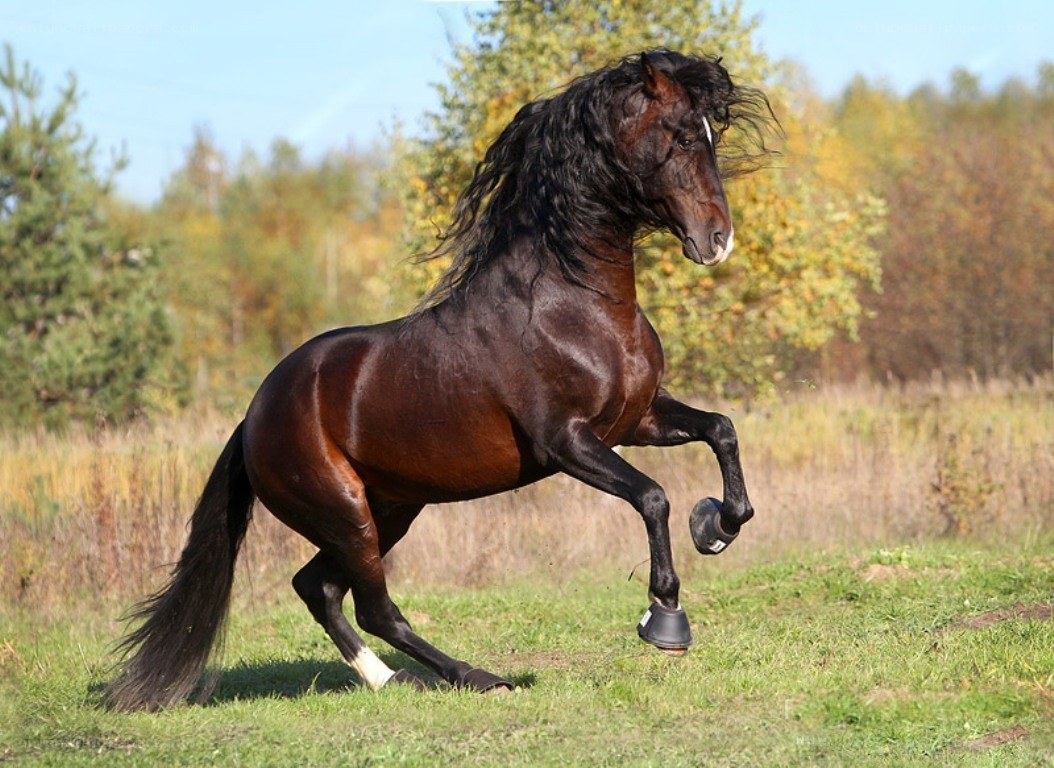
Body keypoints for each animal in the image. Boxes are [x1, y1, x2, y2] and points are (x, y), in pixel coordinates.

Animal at [106, 49, 776, 710]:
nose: (717, 240)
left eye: (712, 134)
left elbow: (721, 430)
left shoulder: (637, 419)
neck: (573, 304)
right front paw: (664, 618)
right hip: (348, 512)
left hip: (390, 507)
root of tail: (254, 415)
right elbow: (652, 495)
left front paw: (717, 525)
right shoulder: (566, 443)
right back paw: (475, 677)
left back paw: (390, 680)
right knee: (373, 607)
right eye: (683, 137)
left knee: (318, 587)